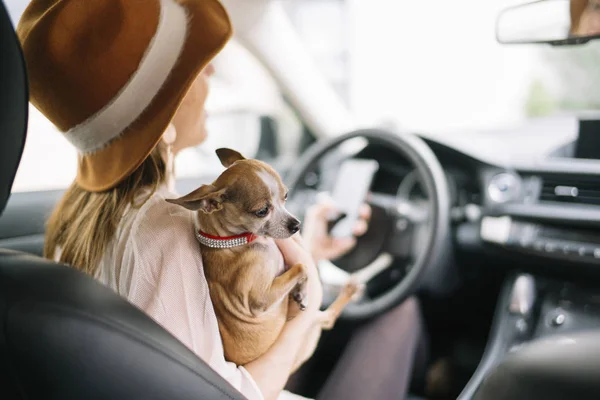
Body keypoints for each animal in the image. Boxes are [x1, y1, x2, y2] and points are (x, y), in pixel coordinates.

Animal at [166, 148, 358, 366]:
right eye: (262, 211)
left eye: (286, 196)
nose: (296, 225)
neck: (234, 241)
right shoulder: (259, 300)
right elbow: (302, 266)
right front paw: (303, 291)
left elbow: (302, 266)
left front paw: (301, 291)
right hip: (312, 326)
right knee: (328, 319)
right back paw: (350, 290)